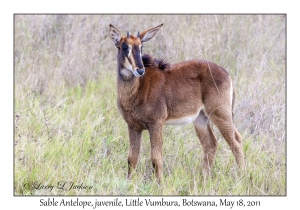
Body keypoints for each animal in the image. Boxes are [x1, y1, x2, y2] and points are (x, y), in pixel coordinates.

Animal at [109, 23, 245, 184]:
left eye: (141, 46)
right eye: (125, 46)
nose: (140, 70)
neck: (137, 89)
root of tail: (226, 73)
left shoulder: (156, 124)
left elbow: (156, 158)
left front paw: (160, 184)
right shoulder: (133, 126)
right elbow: (132, 158)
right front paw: (128, 182)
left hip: (220, 114)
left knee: (236, 142)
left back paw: (242, 176)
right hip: (201, 119)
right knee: (210, 144)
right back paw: (203, 179)